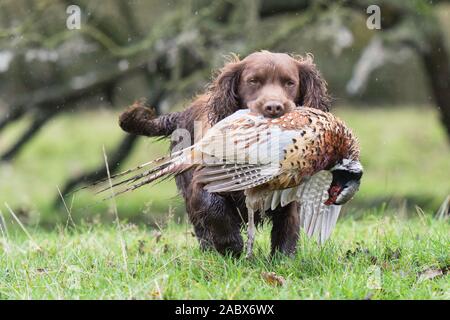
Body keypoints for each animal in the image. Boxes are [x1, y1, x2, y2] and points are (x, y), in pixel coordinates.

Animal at [119, 51, 330, 256]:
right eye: (253, 81)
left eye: (289, 82)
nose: (274, 107)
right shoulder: (201, 183)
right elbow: (214, 207)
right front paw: (231, 246)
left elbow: (287, 225)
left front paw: (283, 259)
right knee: (200, 226)